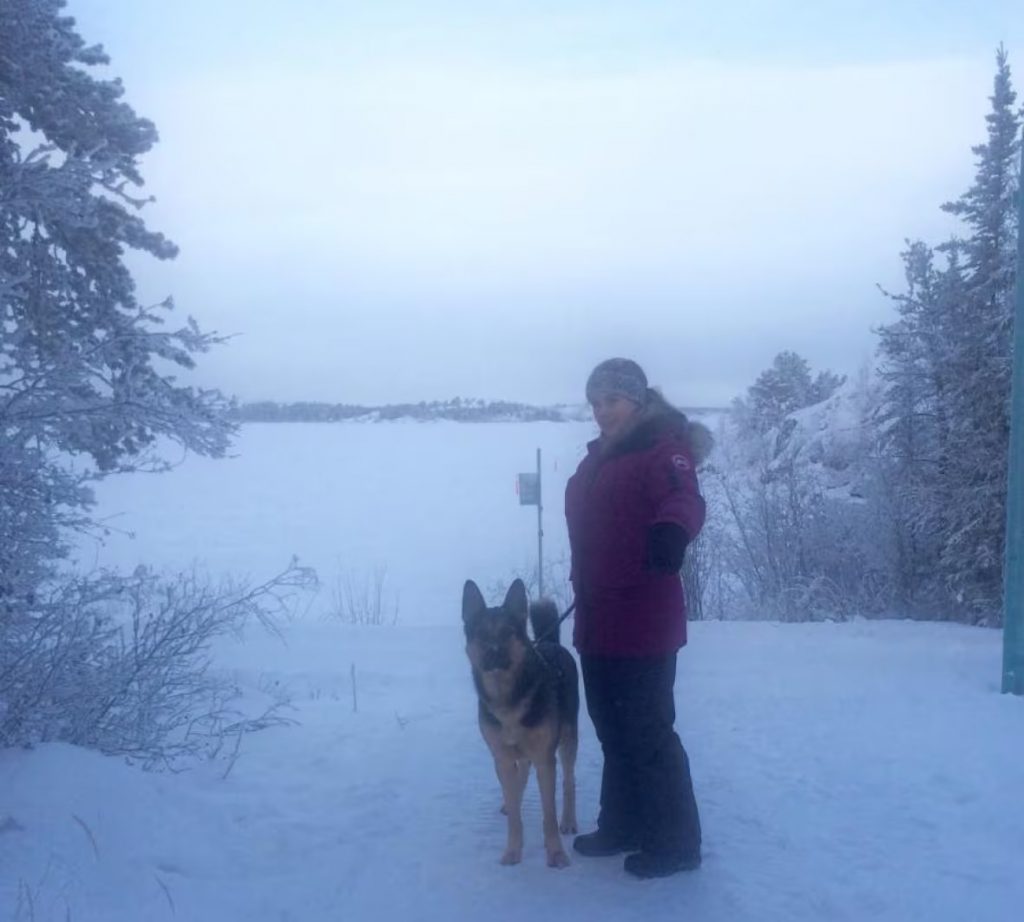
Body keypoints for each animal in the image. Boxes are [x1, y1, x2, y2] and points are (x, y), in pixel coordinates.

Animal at [462, 581, 581, 868]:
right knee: (520, 777)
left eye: (507, 633)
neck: (508, 701)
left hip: (568, 739)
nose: (493, 653)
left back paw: (569, 820)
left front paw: (556, 853)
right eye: (481, 634)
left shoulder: (545, 759)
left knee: (569, 781)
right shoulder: (502, 758)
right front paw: (513, 851)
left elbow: (549, 815)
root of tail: (549, 642)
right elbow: (515, 812)